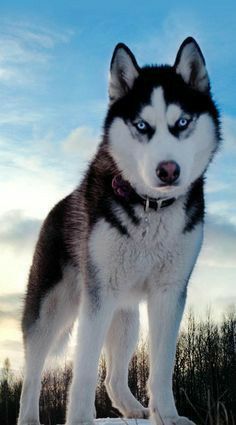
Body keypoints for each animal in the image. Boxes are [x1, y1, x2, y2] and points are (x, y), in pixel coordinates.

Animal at [18, 37, 219, 424]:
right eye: (141, 125)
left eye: (182, 122)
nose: (168, 170)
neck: (150, 208)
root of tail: (57, 206)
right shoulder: (98, 296)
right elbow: (82, 371)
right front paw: (80, 419)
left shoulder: (169, 293)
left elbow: (162, 367)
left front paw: (167, 416)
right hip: (51, 309)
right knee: (33, 372)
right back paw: (29, 417)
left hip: (126, 317)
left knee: (112, 376)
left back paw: (132, 408)